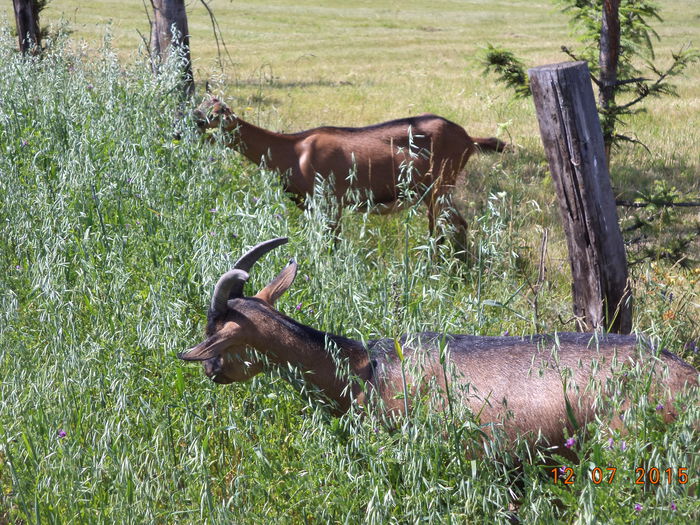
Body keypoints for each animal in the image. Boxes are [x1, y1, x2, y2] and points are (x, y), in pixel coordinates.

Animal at [194, 97, 506, 246]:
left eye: (216, 113)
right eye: (200, 105)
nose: (194, 120)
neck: (293, 151)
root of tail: (469, 138)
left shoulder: (331, 201)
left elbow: (331, 244)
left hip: (441, 185)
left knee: (452, 225)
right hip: (435, 191)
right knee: (450, 225)